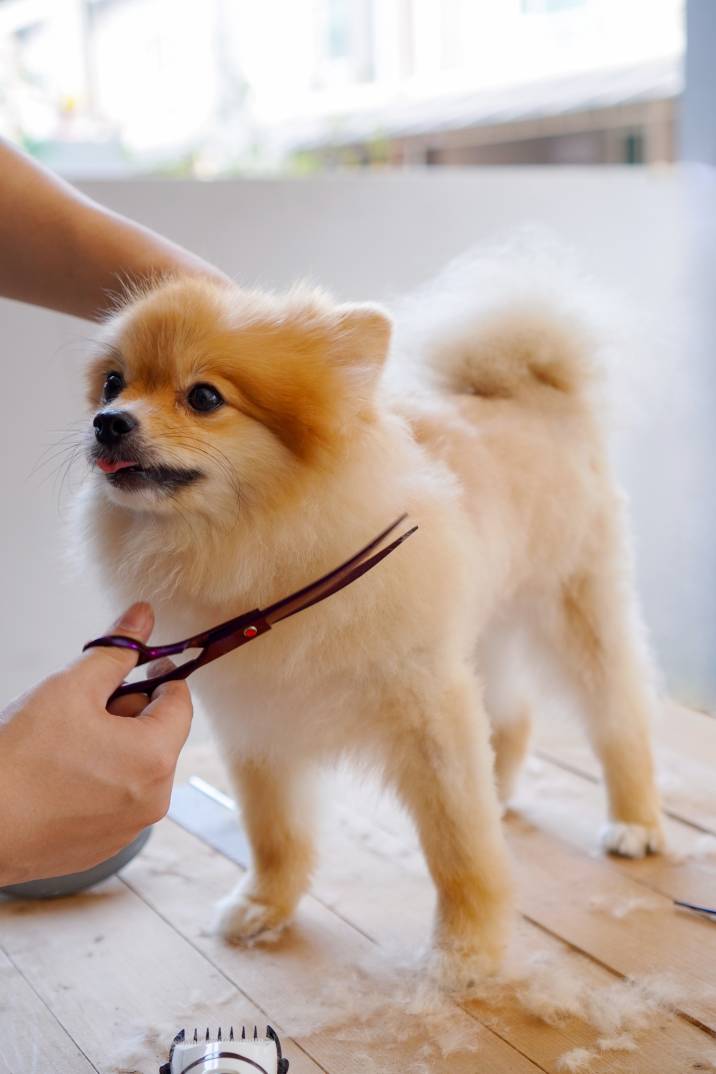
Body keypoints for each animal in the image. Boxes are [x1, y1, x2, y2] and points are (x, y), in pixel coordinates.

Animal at [75, 253, 665, 988]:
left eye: (204, 398)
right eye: (113, 384)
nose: (109, 422)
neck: (259, 548)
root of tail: (534, 389)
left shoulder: (428, 709)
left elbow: (458, 845)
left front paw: (465, 949)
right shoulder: (256, 716)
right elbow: (275, 833)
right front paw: (264, 906)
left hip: (574, 606)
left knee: (619, 715)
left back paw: (634, 822)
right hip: (486, 621)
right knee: (514, 713)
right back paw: (502, 789)